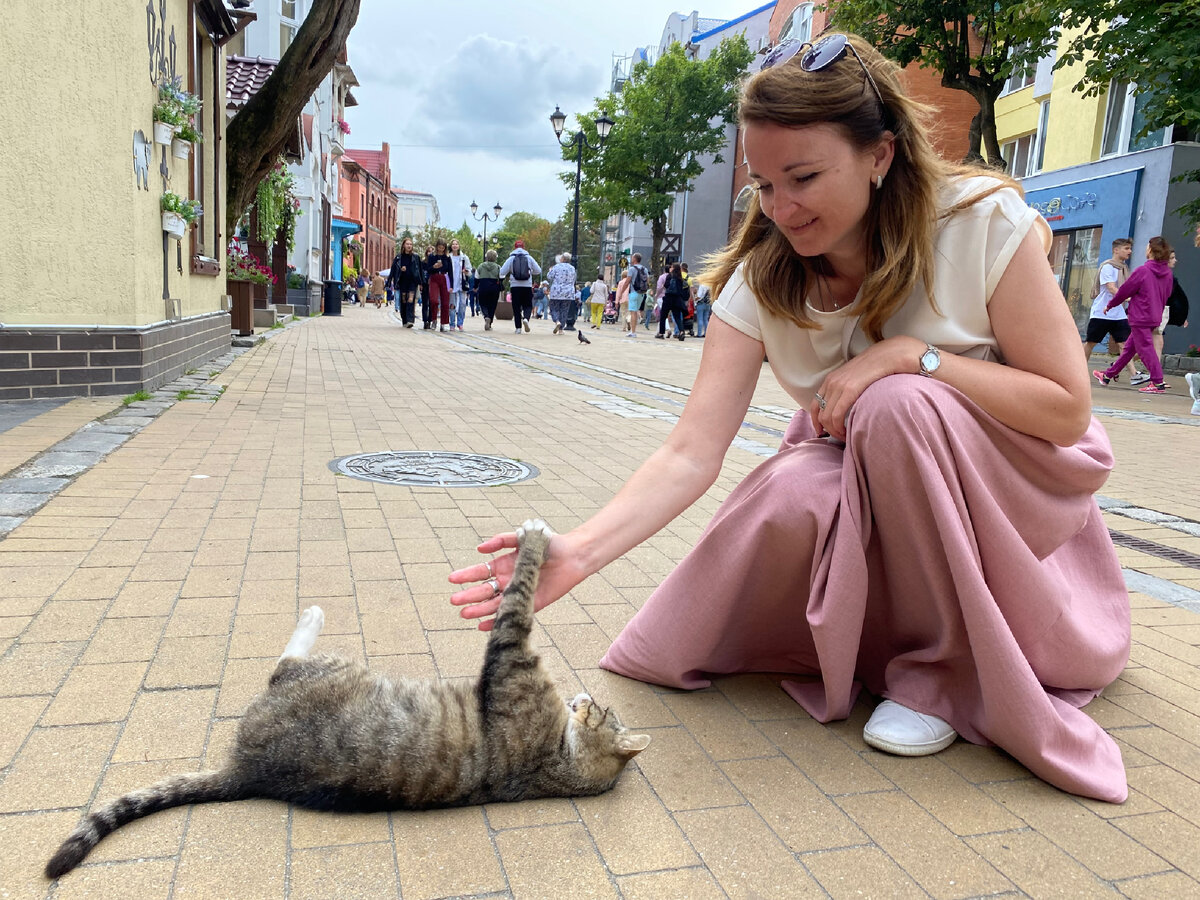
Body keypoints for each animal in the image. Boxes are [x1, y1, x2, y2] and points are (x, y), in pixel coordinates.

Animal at [46, 520, 652, 883]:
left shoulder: (509, 650)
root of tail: (248, 771)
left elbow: (519, 596)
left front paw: (534, 541)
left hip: (327, 673)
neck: (557, 761)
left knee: (283, 665)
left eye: (600, 710)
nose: (583, 695)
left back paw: (310, 617)